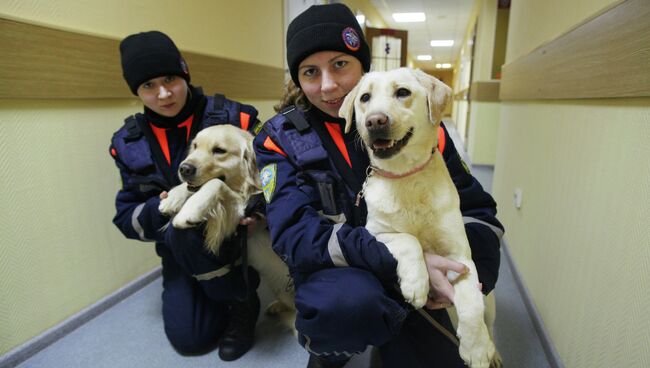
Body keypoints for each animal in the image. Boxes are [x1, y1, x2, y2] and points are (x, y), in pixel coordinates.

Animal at [159, 125, 294, 324]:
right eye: (195, 146)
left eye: (219, 151)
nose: (184, 168)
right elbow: (196, 187)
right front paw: (173, 198)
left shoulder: (248, 206)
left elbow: (215, 183)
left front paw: (188, 211)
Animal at [342, 68, 498, 368]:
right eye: (365, 98)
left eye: (402, 92)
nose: (374, 121)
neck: (406, 177)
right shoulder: (374, 233)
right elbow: (408, 239)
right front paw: (416, 283)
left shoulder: (460, 257)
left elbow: (471, 303)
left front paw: (476, 347)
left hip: (491, 304)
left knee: (489, 319)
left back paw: (493, 350)